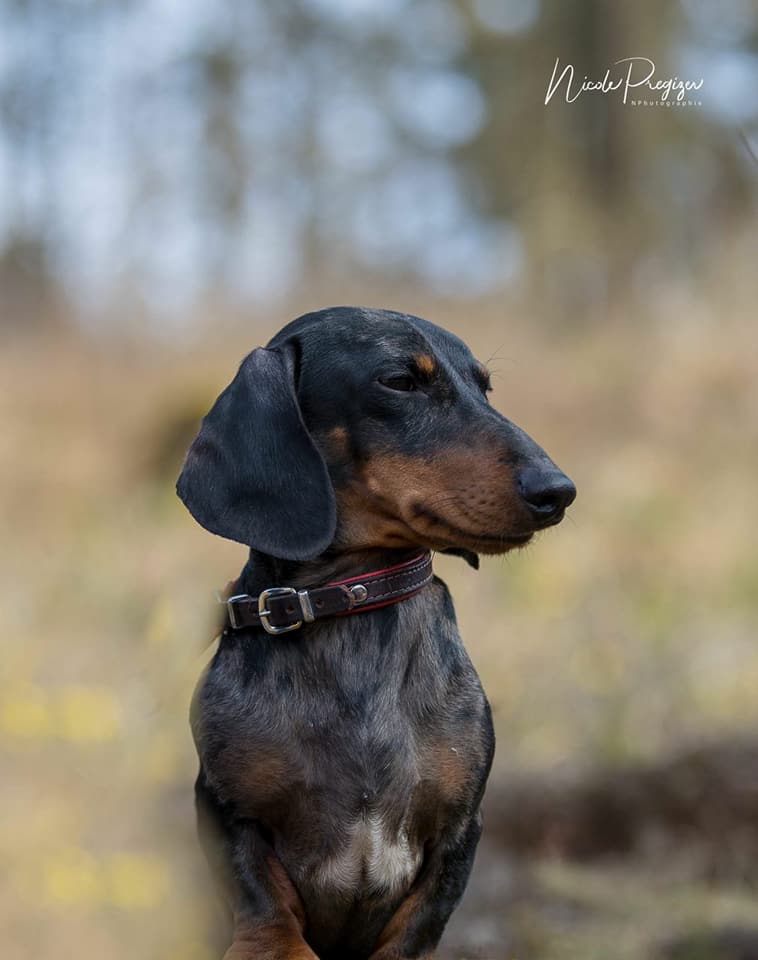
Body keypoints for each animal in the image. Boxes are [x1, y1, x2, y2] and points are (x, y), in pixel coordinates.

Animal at [177, 304, 576, 956]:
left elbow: (417, 925)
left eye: (484, 387)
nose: (558, 491)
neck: (353, 603)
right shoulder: (226, 813)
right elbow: (266, 909)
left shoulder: (458, 833)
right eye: (400, 381)